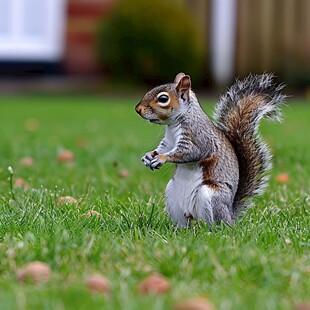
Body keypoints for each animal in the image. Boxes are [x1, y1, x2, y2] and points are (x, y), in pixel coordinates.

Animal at [136, 74, 286, 226]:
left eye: (163, 99)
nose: (138, 109)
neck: (175, 123)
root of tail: (230, 215)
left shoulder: (199, 138)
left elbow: (190, 152)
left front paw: (161, 159)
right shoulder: (169, 142)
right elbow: (163, 148)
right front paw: (149, 156)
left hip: (211, 196)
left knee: (215, 222)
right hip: (172, 196)